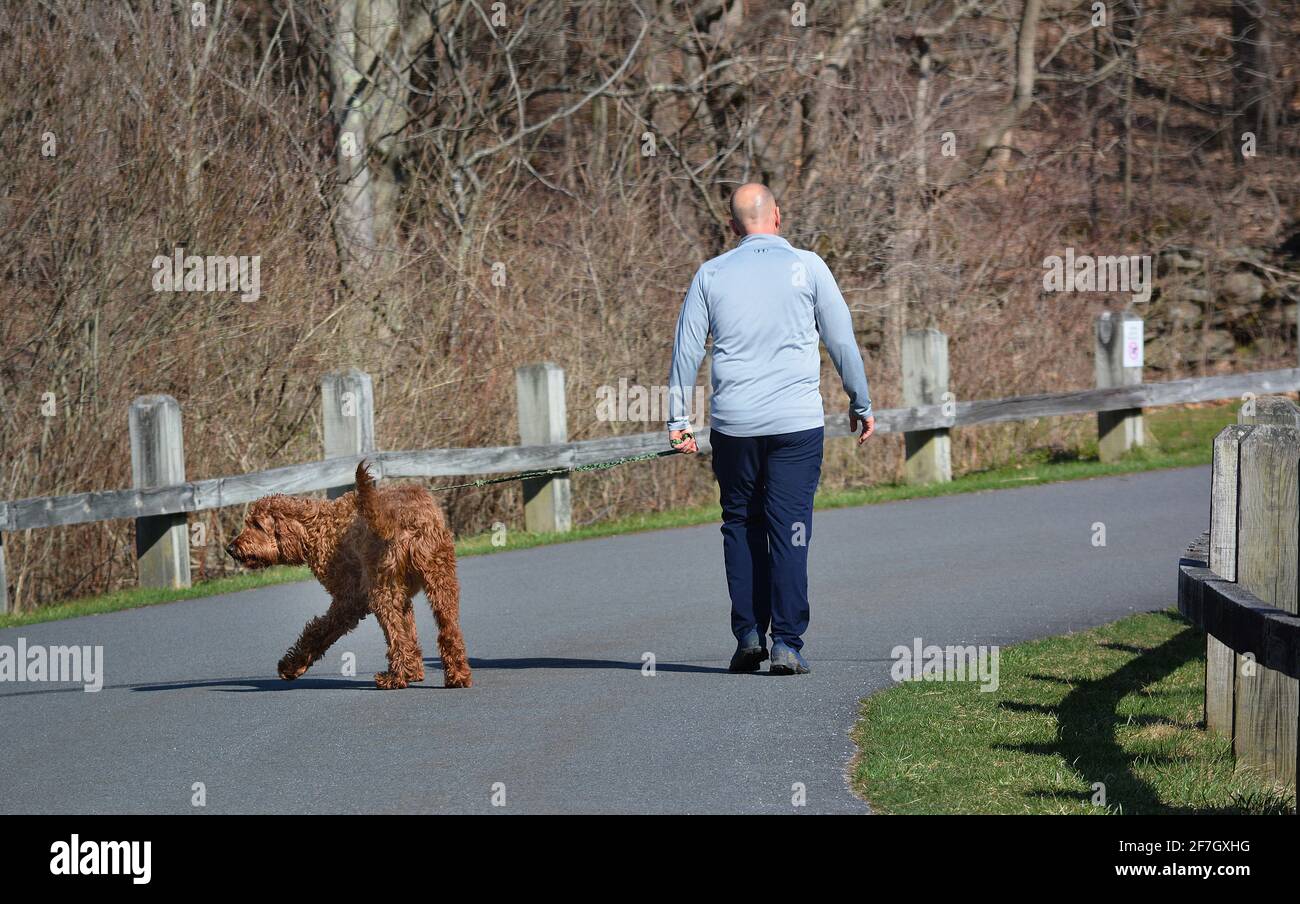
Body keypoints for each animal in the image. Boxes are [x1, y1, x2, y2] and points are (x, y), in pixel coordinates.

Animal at [227, 463, 473, 691]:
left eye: (257, 525)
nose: (230, 548)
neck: (317, 526)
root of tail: (405, 516)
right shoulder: (401, 597)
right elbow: (409, 632)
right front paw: (415, 671)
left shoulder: (350, 600)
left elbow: (320, 630)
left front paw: (291, 666)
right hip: (441, 581)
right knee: (449, 631)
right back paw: (457, 675)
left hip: (381, 591)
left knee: (395, 635)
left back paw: (394, 679)